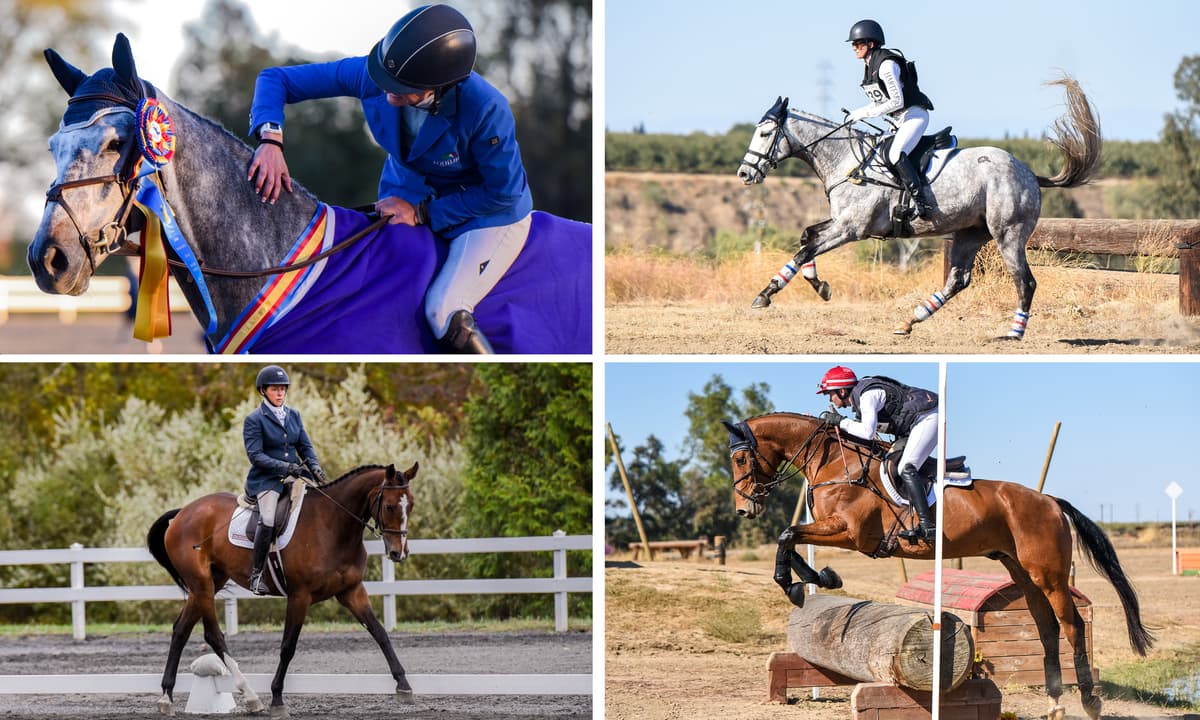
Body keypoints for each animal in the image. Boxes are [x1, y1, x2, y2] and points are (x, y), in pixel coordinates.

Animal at [146, 463, 417, 718]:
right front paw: (277, 699)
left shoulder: (352, 591)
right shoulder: (300, 596)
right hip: (202, 584)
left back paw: (166, 698)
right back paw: (251, 697)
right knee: (213, 635)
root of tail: (183, 513)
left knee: (181, 630)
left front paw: (404, 686)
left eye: (411, 505)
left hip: (209, 583)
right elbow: (288, 646)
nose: (399, 553)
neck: (332, 526)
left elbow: (380, 633)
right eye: (390, 506)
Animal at [721, 413, 1151, 720]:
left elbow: (787, 535)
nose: (744, 509)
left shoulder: (850, 533)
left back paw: (1090, 702)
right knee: (1046, 629)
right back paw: (1055, 702)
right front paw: (815, 578)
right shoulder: (834, 530)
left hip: (1049, 576)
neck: (836, 465)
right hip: (1023, 574)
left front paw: (797, 582)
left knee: (1073, 626)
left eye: (741, 458)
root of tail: (1050, 501)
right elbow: (790, 536)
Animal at [736, 76, 1101, 340]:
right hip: (970, 233)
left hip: (1008, 234)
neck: (845, 160)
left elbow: (805, 249)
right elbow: (807, 239)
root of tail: (1028, 172)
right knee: (958, 280)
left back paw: (1014, 333)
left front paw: (766, 293)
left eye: (765, 133)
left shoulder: (850, 228)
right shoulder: (841, 223)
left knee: (1025, 281)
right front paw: (819, 286)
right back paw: (910, 320)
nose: (744, 173)